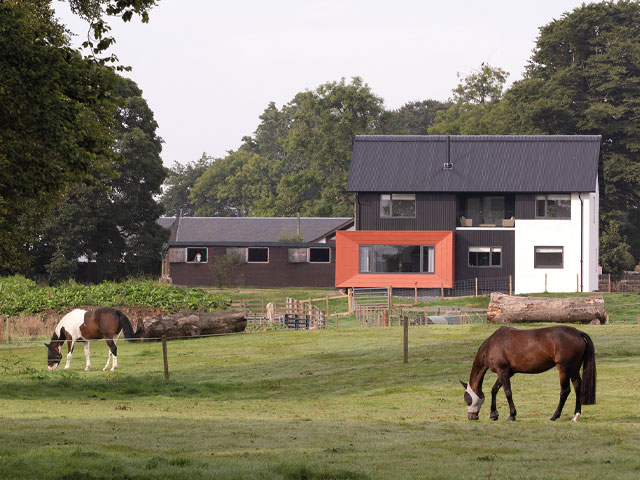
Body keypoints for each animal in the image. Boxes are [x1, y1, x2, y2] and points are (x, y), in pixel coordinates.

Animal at [460, 324, 596, 422]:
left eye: (467, 399)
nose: (471, 417)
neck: (492, 344)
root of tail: (578, 333)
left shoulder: (502, 370)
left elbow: (507, 392)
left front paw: (512, 415)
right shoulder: (507, 372)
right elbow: (494, 389)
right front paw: (494, 414)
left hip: (564, 368)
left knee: (565, 390)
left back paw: (554, 416)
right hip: (574, 368)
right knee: (578, 386)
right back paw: (576, 415)